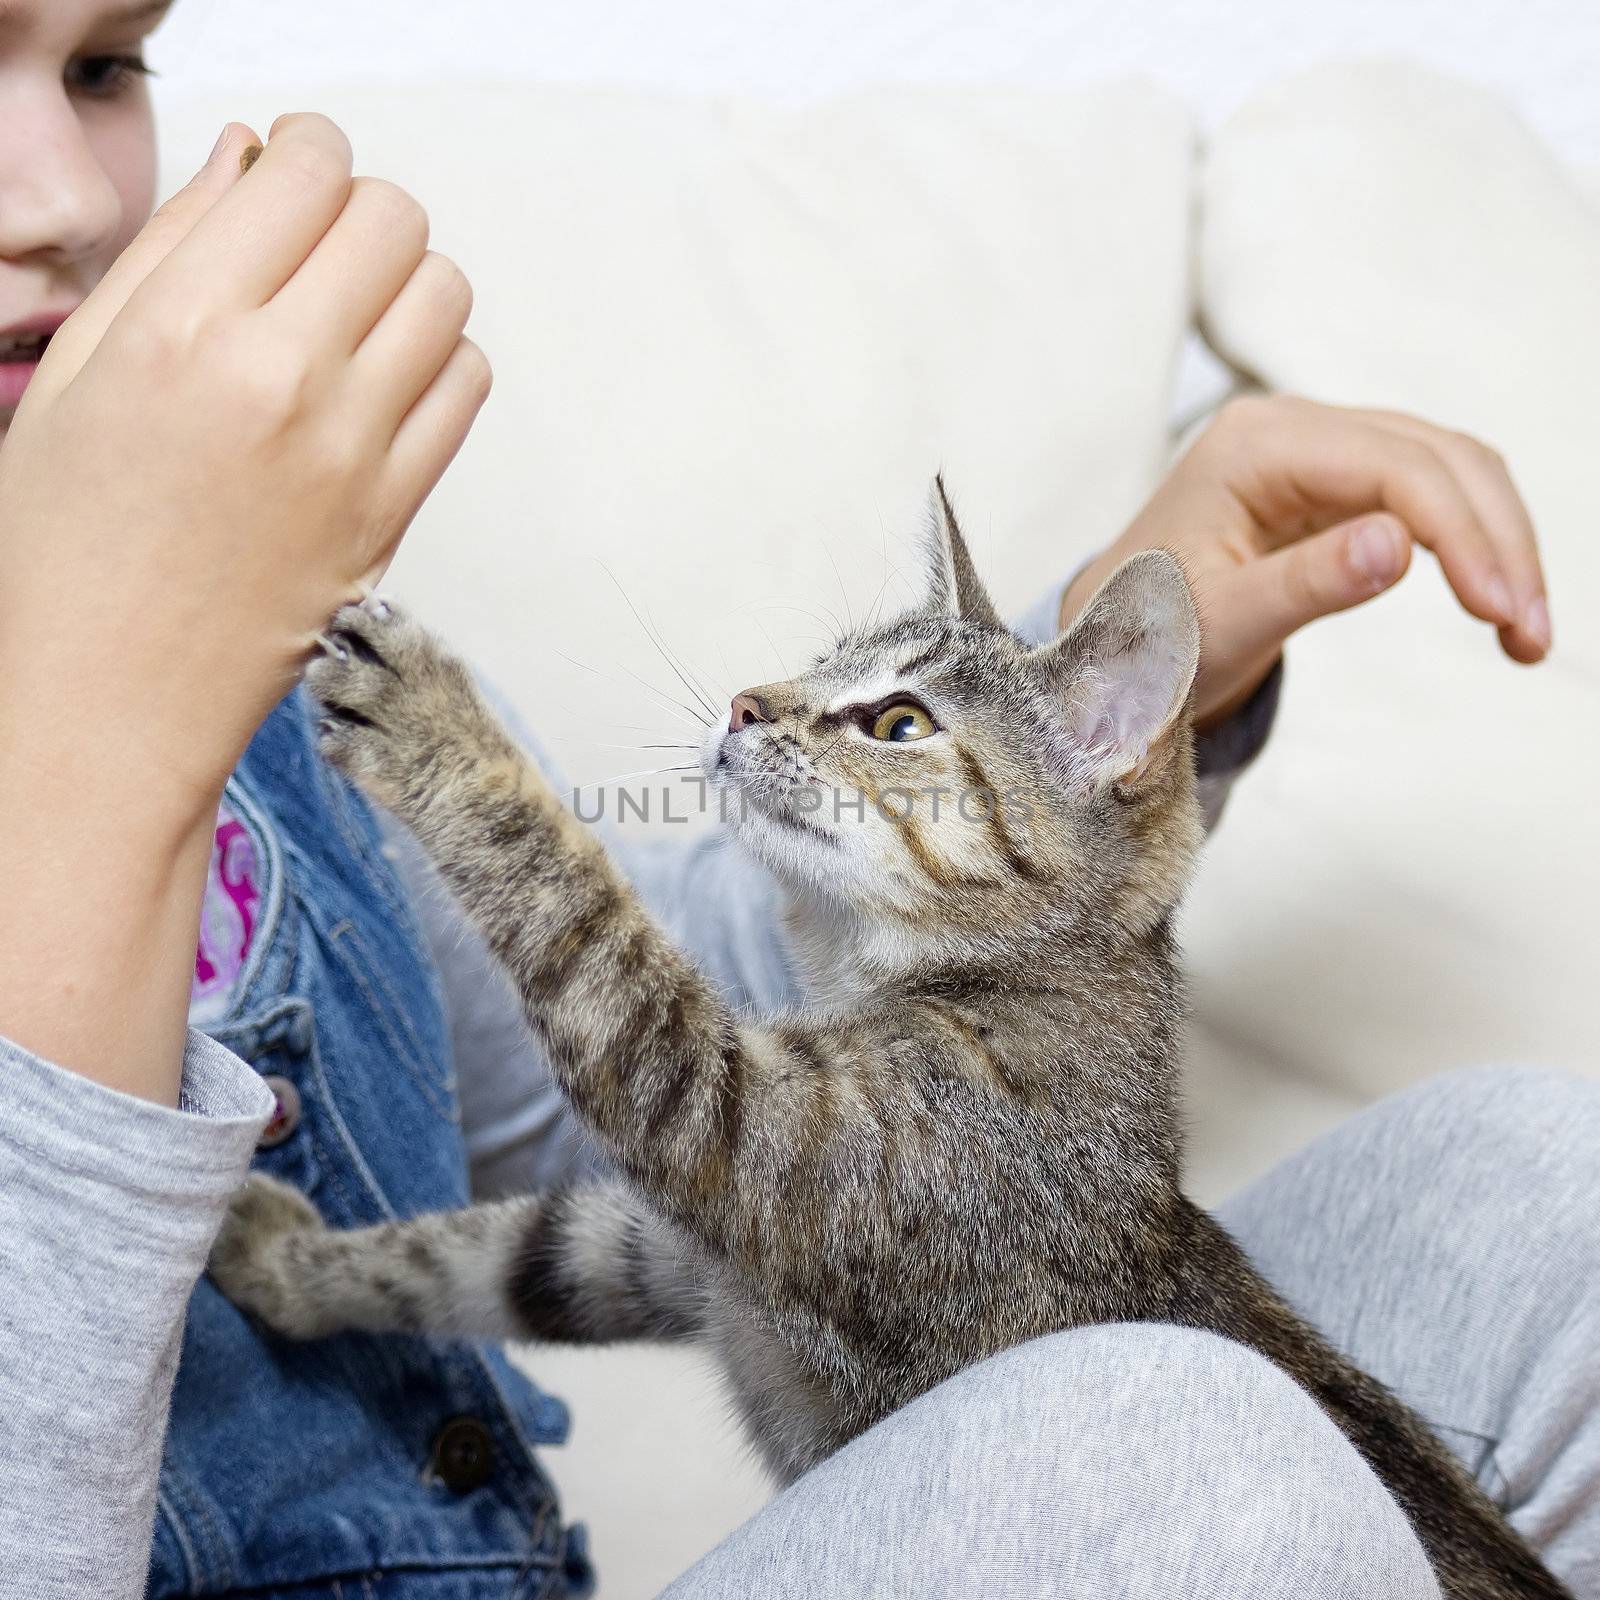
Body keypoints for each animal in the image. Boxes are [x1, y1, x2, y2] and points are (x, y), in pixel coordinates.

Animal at [209, 486, 1561, 1600]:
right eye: (821, 665)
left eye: (899, 722)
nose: (747, 699)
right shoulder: (675, 1250)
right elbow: (482, 1255)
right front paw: (277, 1255)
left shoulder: (740, 1123)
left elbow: (570, 902)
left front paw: (439, 721)